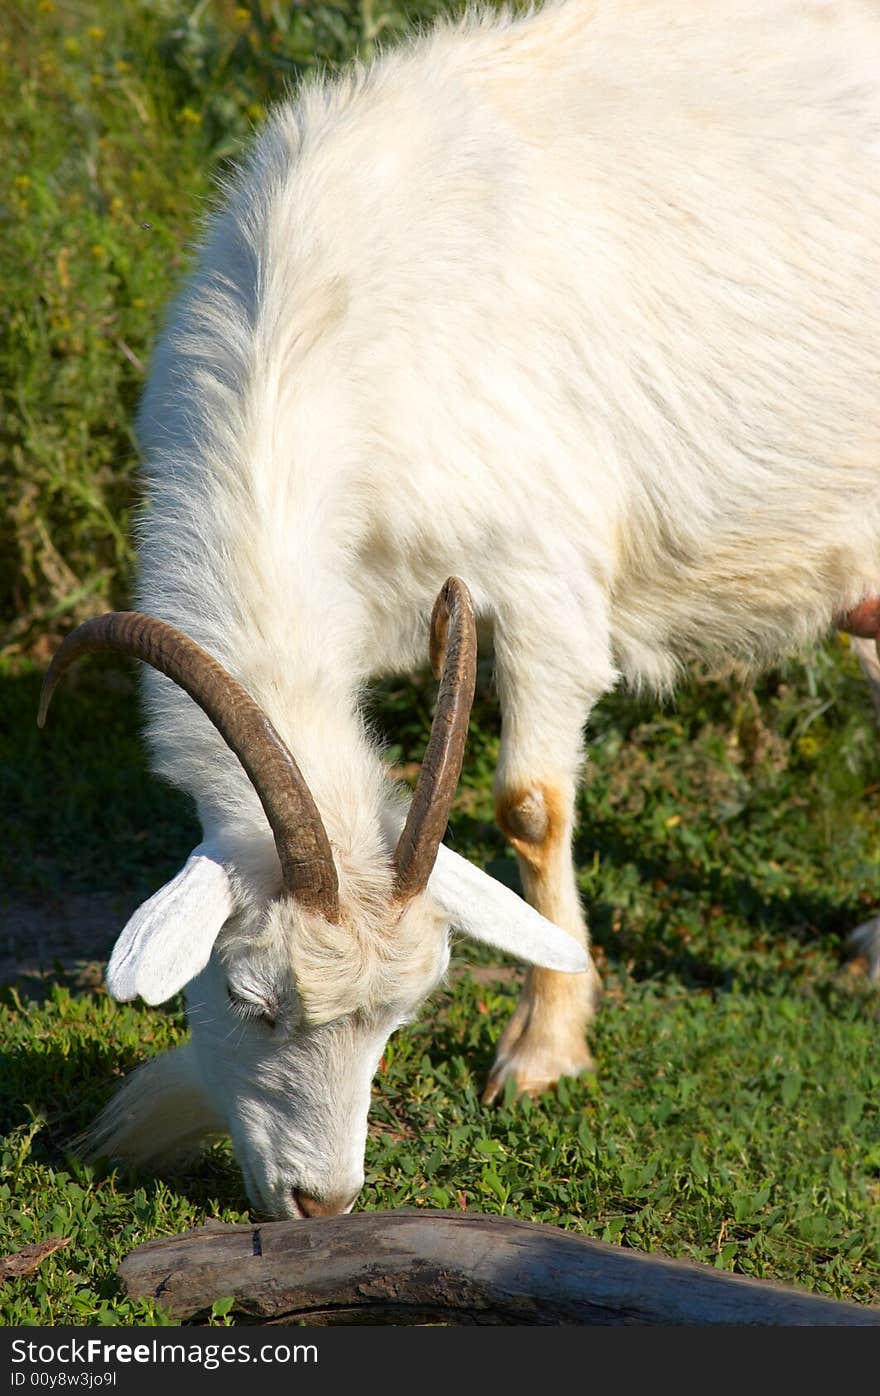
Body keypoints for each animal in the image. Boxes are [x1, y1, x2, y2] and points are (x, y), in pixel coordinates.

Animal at [37, 0, 880, 1217]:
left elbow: (531, 804)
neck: (333, 311)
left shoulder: (542, 582)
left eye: (403, 1016)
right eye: (247, 1000)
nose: (322, 1204)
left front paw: (544, 1047)